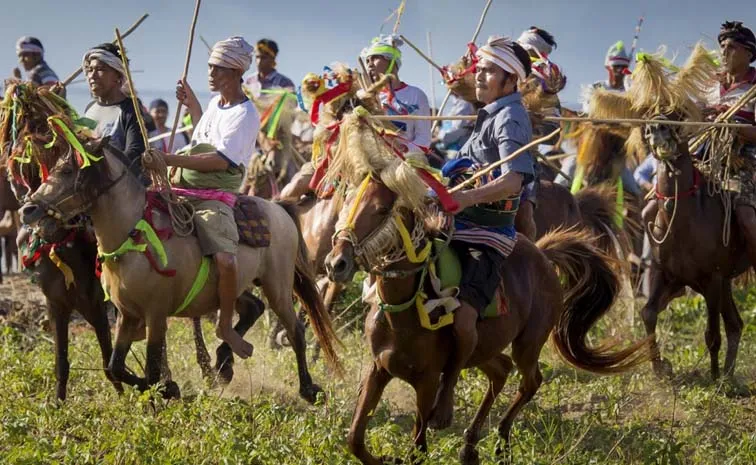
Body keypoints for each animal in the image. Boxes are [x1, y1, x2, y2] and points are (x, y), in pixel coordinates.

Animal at [20, 141, 342, 398]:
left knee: (295, 329)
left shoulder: (155, 314)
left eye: (66, 170)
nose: (27, 209)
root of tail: (278, 208)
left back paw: (308, 388)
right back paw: (224, 361)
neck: (133, 235)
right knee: (252, 308)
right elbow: (114, 367)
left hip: (278, 284)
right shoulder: (126, 314)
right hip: (238, 285)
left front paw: (165, 391)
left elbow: (151, 368)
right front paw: (164, 388)